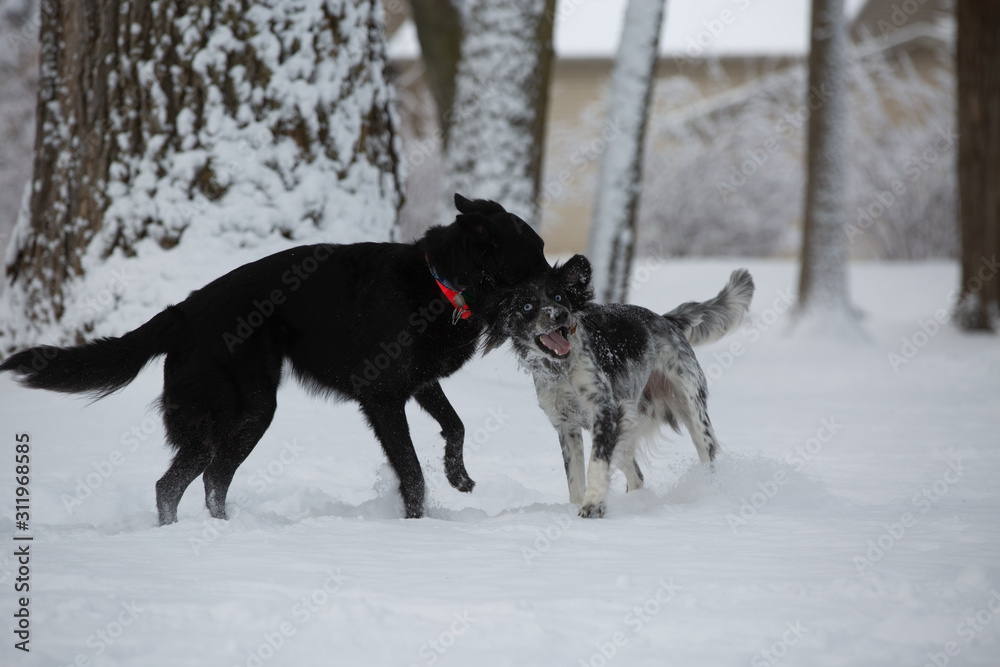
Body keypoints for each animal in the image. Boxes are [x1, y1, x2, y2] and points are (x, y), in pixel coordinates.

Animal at [0, 196, 548, 524]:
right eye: (538, 251)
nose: (565, 283)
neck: (441, 284)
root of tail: (183, 312)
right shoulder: (384, 399)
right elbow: (411, 472)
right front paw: (417, 523)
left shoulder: (420, 384)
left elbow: (455, 426)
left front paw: (458, 476)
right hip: (249, 412)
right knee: (191, 482)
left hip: (228, 423)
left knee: (188, 483)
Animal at [480, 254, 752, 516]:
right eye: (527, 306)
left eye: (558, 297)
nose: (561, 314)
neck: (562, 371)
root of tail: (666, 320)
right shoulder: (566, 425)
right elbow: (574, 478)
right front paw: (578, 506)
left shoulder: (605, 411)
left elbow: (595, 465)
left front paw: (593, 506)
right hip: (626, 428)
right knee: (637, 476)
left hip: (691, 412)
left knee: (707, 460)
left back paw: (708, 496)